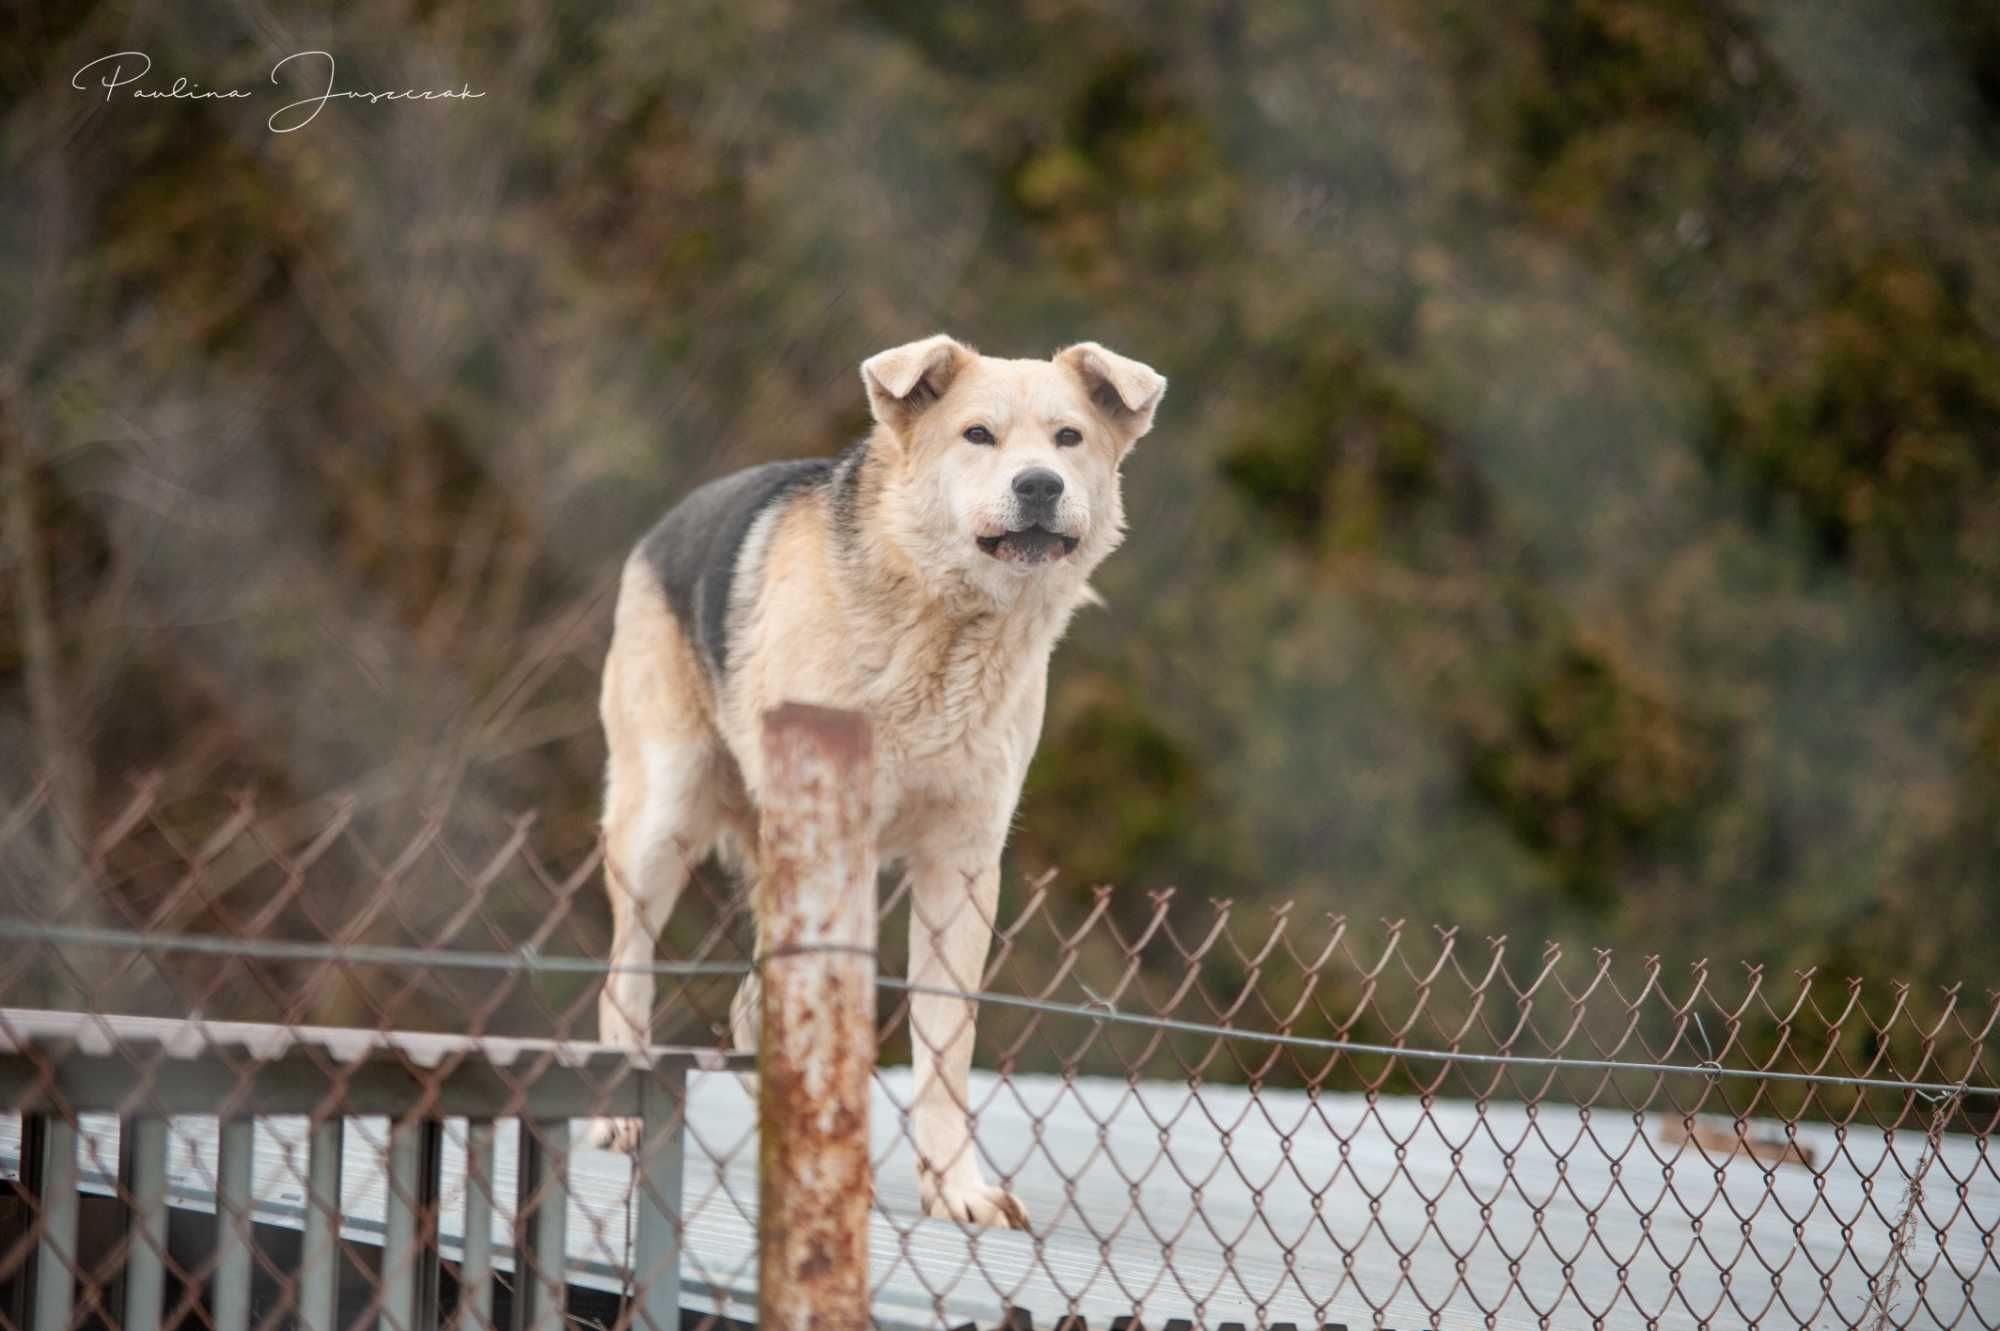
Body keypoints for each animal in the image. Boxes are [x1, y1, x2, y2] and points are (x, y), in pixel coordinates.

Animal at [584, 331, 1168, 1223]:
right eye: (978, 435)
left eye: (1068, 438)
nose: (1040, 484)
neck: (946, 625)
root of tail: (664, 525)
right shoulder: (838, 847)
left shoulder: (962, 866)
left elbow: (946, 1047)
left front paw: (956, 1187)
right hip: (660, 823)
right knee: (627, 973)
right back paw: (619, 1114)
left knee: (750, 1004)